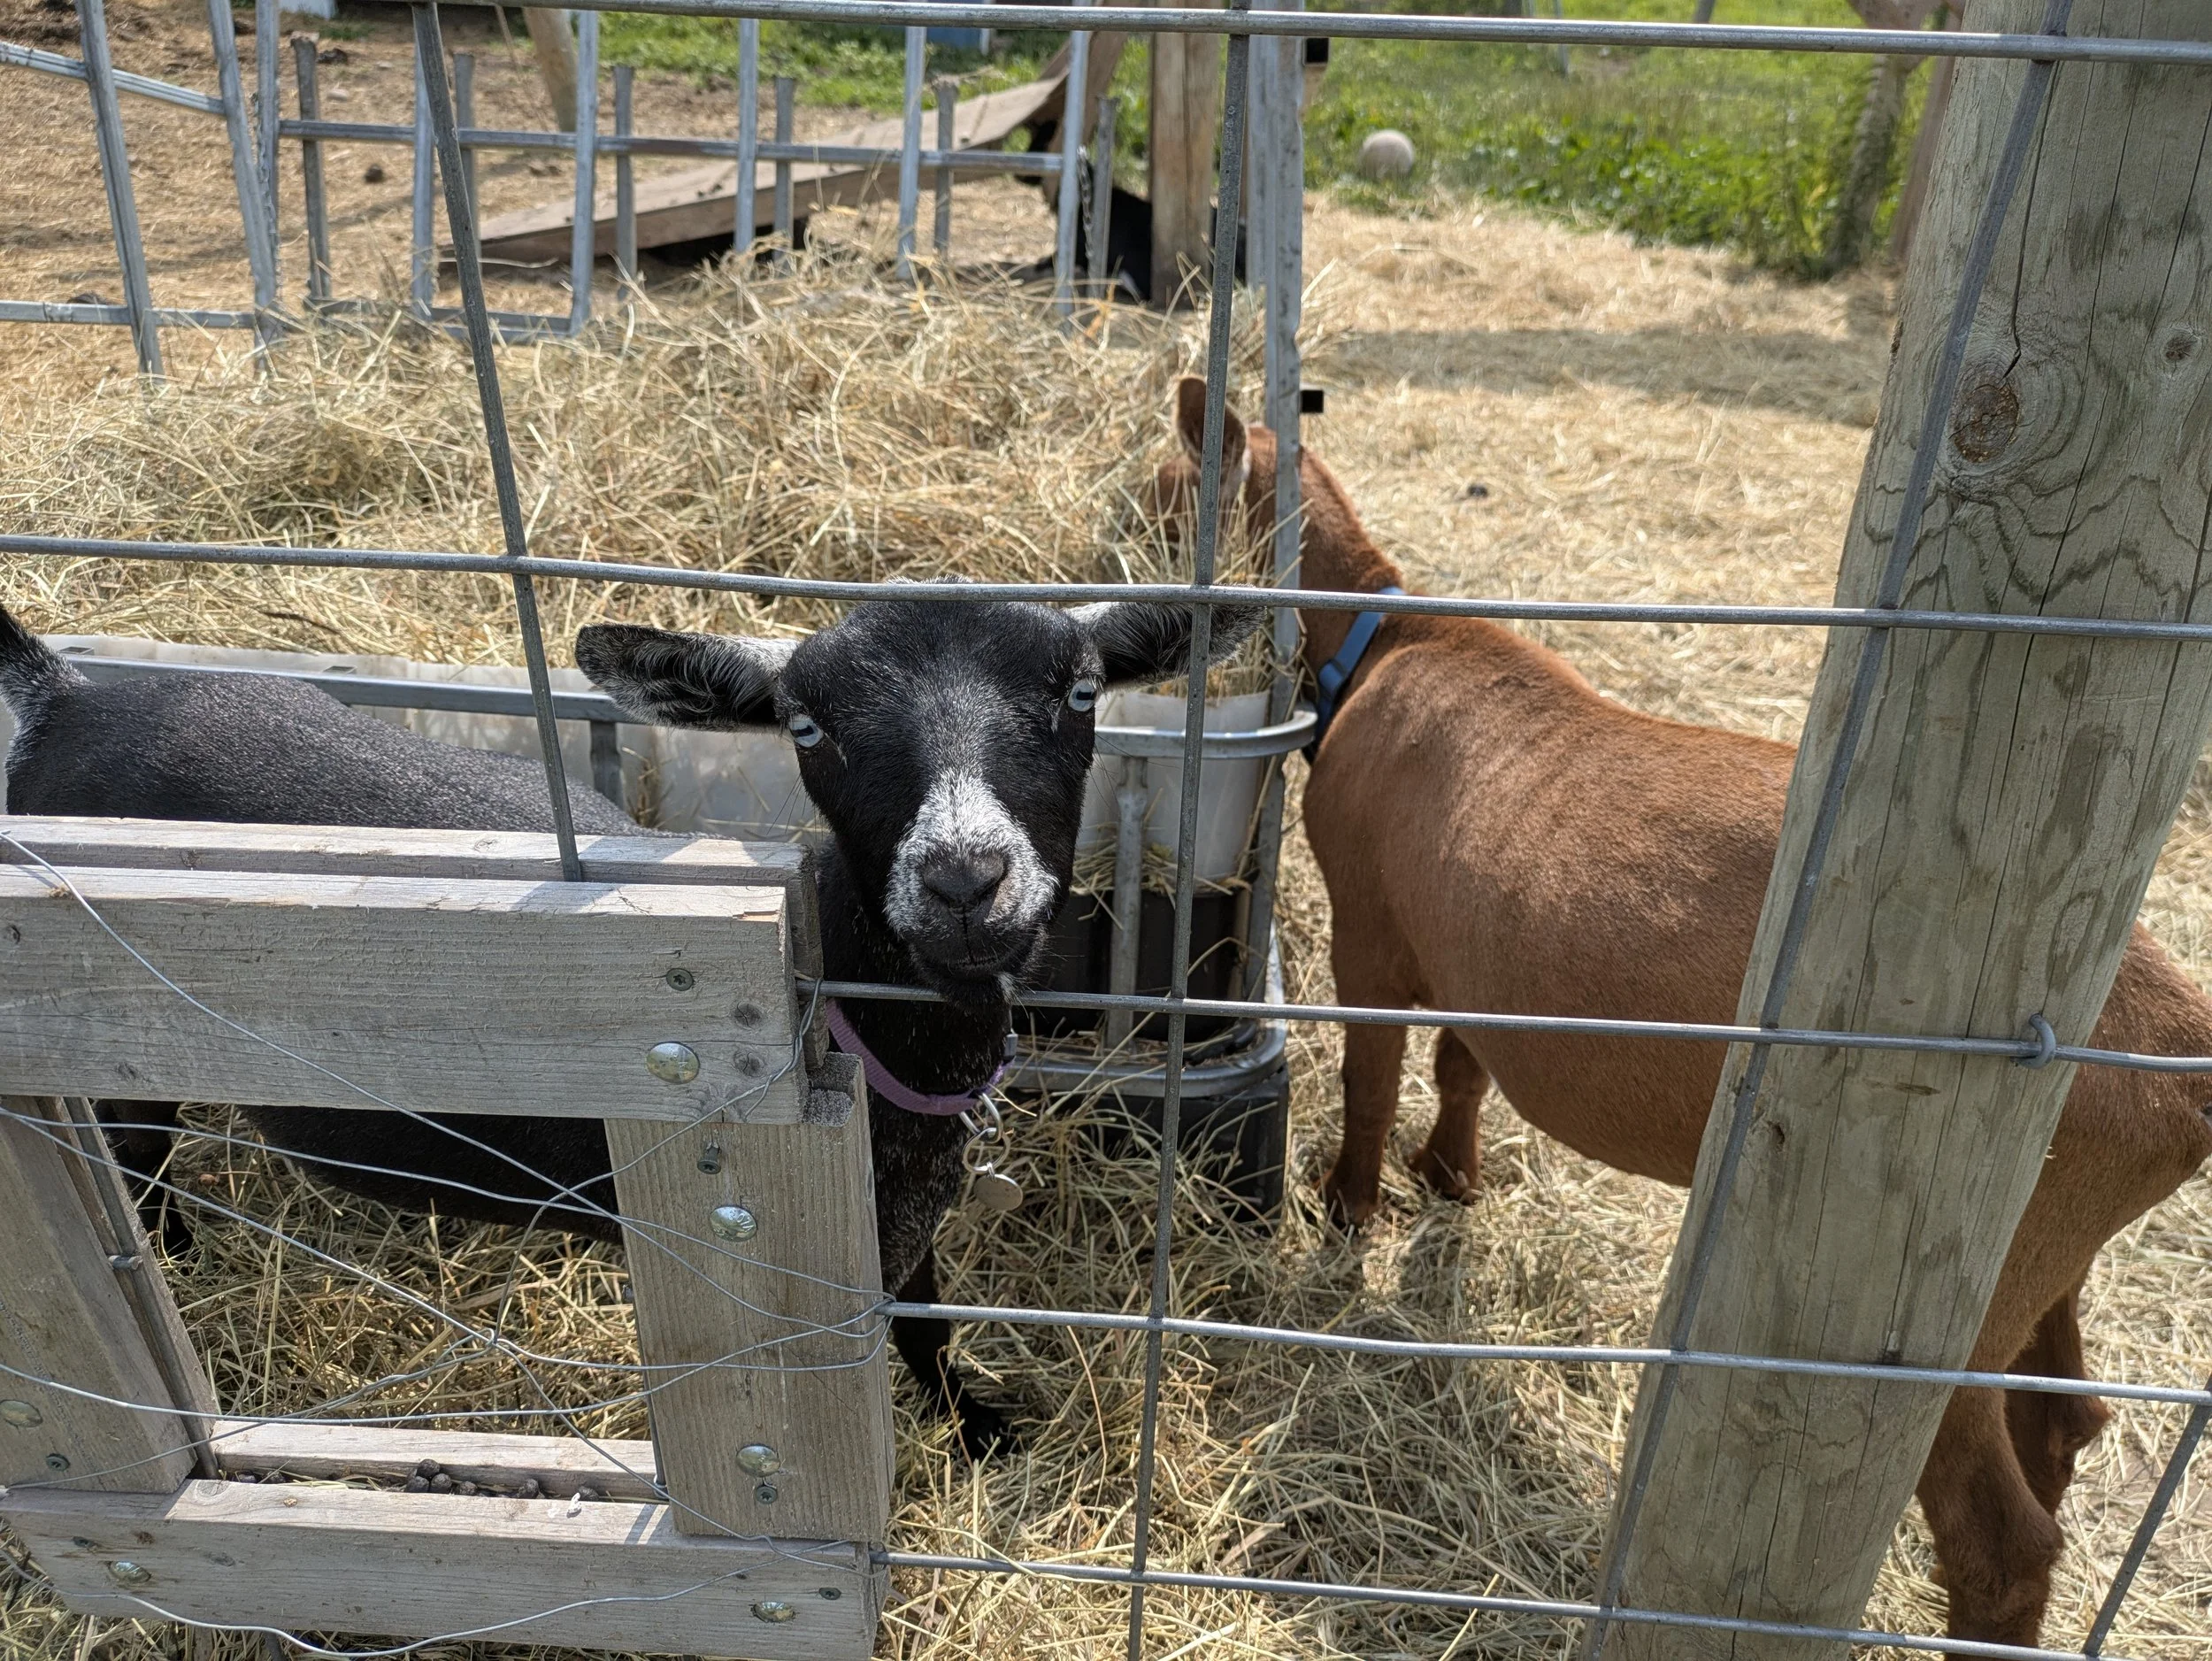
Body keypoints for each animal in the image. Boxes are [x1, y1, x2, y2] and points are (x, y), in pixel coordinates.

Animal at [0, 591, 1257, 1456]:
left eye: (1082, 694)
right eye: (806, 726)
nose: (964, 879)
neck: (883, 1040)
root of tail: (64, 694)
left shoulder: (909, 1203)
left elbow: (930, 1320)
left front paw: (977, 1423)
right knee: (131, 1144)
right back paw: (170, 1254)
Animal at [1148, 377, 2212, 1647]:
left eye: (1161, 494)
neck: (1380, 642)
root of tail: (2185, 1066)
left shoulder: (1370, 921)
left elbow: (1369, 1075)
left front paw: (1347, 1210)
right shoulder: (1474, 946)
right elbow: (1462, 1064)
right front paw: (1449, 1175)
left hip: (1940, 1283)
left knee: (2001, 1535)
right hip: (2049, 1243)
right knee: (2062, 1420)